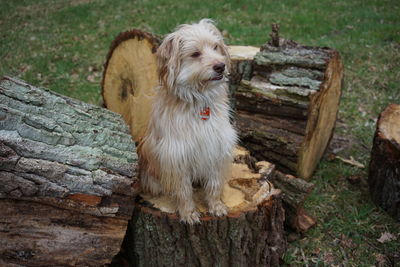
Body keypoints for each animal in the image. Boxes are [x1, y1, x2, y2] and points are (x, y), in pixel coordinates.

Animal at [138, 18, 238, 224]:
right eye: (195, 54)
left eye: (215, 47)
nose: (221, 66)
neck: (199, 101)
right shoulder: (176, 155)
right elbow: (183, 190)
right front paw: (188, 212)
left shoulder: (217, 147)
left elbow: (214, 184)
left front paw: (216, 205)